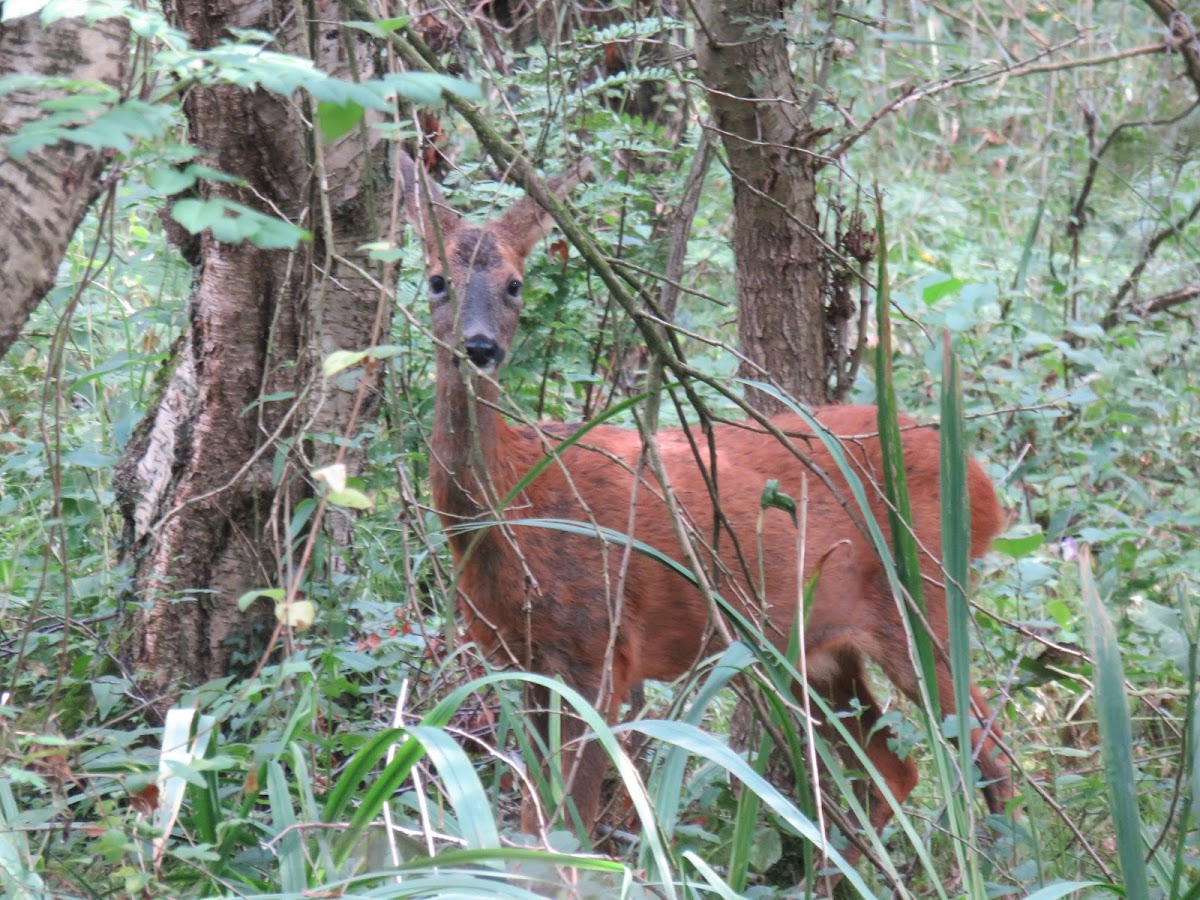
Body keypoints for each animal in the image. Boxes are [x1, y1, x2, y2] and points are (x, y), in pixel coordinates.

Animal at [403, 154, 1012, 859]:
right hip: (812, 646)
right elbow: (535, 826)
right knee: (893, 764)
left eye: (515, 284)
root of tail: (984, 489)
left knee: (990, 750)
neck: (520, 504)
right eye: (437, 280)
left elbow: (567, 826)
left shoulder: (599, 649)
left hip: (923, 602)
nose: (478, 348)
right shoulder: (523, 660)